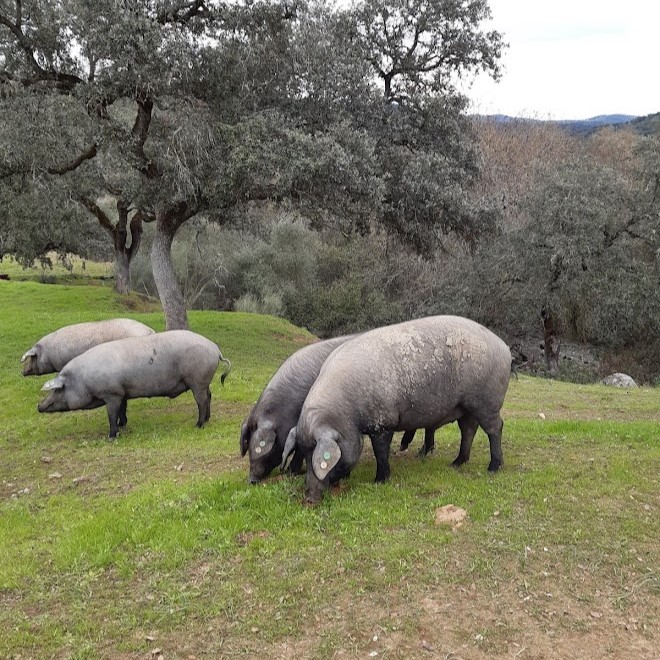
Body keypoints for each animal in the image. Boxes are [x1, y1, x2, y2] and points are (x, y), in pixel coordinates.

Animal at [37, 330, 232, 438]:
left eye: (59, 389)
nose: (39, 406)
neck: (84, 378)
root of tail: (216, 350)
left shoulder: (111, 393)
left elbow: (111, 415)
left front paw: (111, 436)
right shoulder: (121, 392)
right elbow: (122, 410)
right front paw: (123, 425)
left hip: (196, 380)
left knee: (202, 401)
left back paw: (198, 425)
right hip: (203, 382)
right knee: (209, 396)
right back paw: (207, 420)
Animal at [282, 318, 512, 502]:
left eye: (317, 457)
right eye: (303, 454)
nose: (310, 498)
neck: (347, 412)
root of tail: (504, 348)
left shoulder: (383, 422)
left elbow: (381, 452)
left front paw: (379, 481)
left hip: (487, 401)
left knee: (495, 428)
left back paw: (493, 468)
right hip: (465, 407)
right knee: (469, 430)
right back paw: (455, 464)